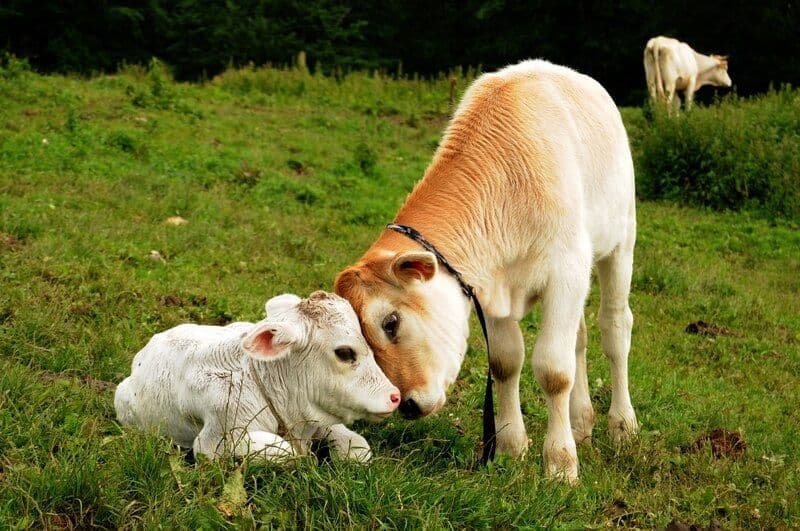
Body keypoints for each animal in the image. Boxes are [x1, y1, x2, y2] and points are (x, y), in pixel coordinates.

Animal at [334, 60, 639, 483]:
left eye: (390, 322)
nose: (406, 404)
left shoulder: (566, 269)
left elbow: (553, 370)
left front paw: (560, 465)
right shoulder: (491, 287)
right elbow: (506, 363)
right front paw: (511, 447)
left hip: (620, 243)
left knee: (614, 328)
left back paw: (622, 424)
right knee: (578, 338)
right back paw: (581, 422)